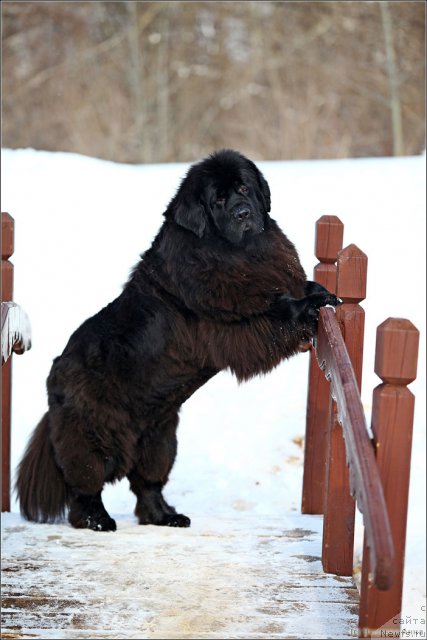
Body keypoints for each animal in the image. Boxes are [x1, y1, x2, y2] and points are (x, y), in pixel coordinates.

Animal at [16, 149, 340, 528]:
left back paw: (165, 516)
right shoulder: (233, 326)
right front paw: (308, 307)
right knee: (85, 485)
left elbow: (297, 287)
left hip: (160, 435)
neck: (239, 252)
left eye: (245, 188)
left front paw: (321, 292)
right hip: (94, 434)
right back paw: (98, 521)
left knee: (147, 483)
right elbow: (277, 310)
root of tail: (56, 369)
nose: (243, 213)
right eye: (218, 200)